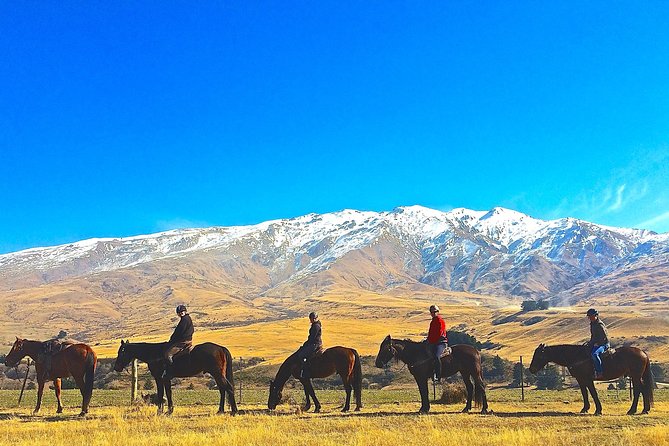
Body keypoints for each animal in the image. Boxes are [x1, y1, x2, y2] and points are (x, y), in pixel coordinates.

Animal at [528, 344, 656, 414]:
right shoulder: (580, 379)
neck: (576, 356)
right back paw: (644, 410)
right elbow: (585, 393)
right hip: (635, 376)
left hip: (636, 376)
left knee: (639, 390)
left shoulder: (588, 379)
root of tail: (643, 353)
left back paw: (633, 410)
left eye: (539, 355)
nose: (531, 369)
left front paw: (598, 410)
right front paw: (585, 408)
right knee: (642, 390)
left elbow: (593, 393)